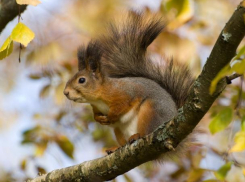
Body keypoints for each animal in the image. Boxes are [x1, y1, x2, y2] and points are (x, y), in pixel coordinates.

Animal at [64, 12, 194, 154]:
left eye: (81, 80)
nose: (65, 92)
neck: (99, 96)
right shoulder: (96, 107)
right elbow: (96, 115)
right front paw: (99, 119)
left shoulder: (124, 93)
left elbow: (122, 105)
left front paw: (111, 117)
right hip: (119, 131)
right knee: (123, 141)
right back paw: (116, 148)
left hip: (150, 112)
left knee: (147, 132)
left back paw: (137, 135)